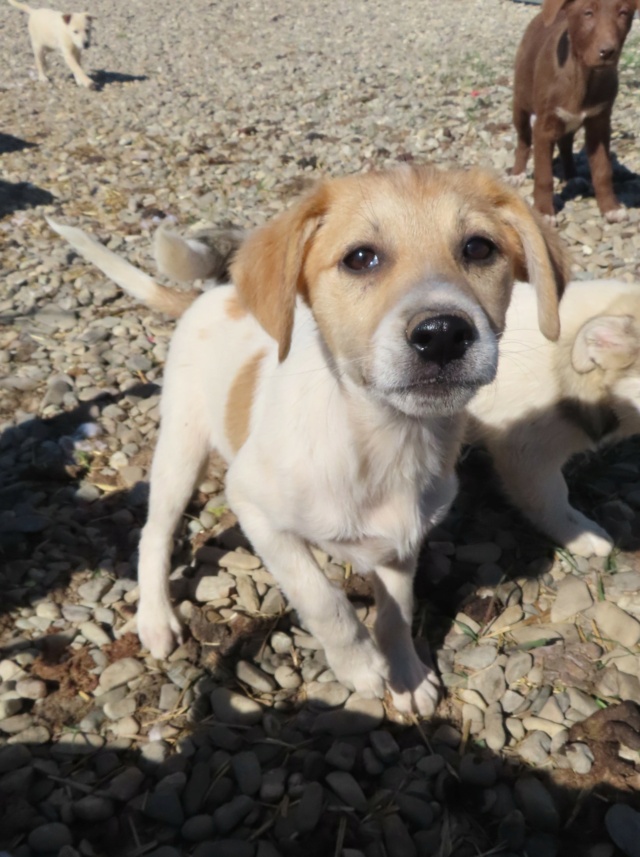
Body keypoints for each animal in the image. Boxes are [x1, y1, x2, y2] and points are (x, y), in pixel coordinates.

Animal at [46, 166, 564, 716]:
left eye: (479, 249)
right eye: (360, 258)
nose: (443, 333)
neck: (382, 440)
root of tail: (210, 295)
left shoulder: (401, 544)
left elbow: (397, 613)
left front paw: (405, 674)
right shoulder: (254, 509)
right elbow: (323, 599)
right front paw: (360, 666)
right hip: (180, 451)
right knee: (155, 534)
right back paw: (155, 618)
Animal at [512, 0, 636, 224]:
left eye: (623, 13)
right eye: (587, 13)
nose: (608, 51)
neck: (584, 75)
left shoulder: (599, 124)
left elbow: (603, 170)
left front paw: (610, 208)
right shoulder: (543, 128)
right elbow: (543, 176)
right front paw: (544, 211)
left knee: (565, 143)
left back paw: (572, 176)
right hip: (520, 104)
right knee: (523, 139)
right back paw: (517, 173)